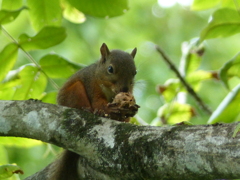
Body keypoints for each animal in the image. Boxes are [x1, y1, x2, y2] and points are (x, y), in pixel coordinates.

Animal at [47, 43, 138, 179]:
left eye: (135, 72)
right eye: (110, 69)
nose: (125, 89)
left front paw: (129, 112)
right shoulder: (92, 86)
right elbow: (98, 103)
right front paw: (109, 109)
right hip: (75, 92)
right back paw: (89, 110)